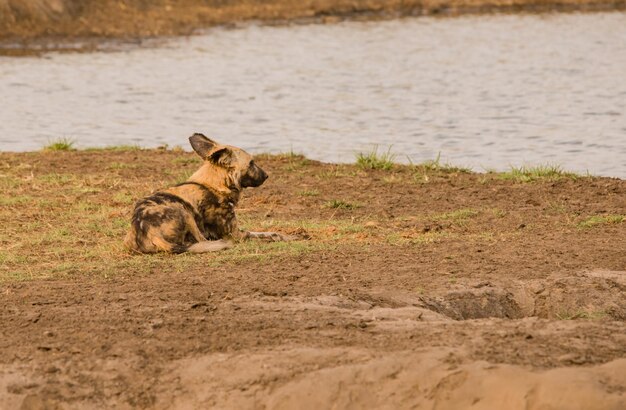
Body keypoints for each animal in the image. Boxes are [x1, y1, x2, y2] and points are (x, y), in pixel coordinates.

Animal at [125, 134, 296, 253]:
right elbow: (267, 234)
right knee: (202, 241)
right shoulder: (235, 234)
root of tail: (148, 232)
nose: (266, 175)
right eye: (252, 163)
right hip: (184, 212)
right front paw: (289, 237)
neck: (214, 185)